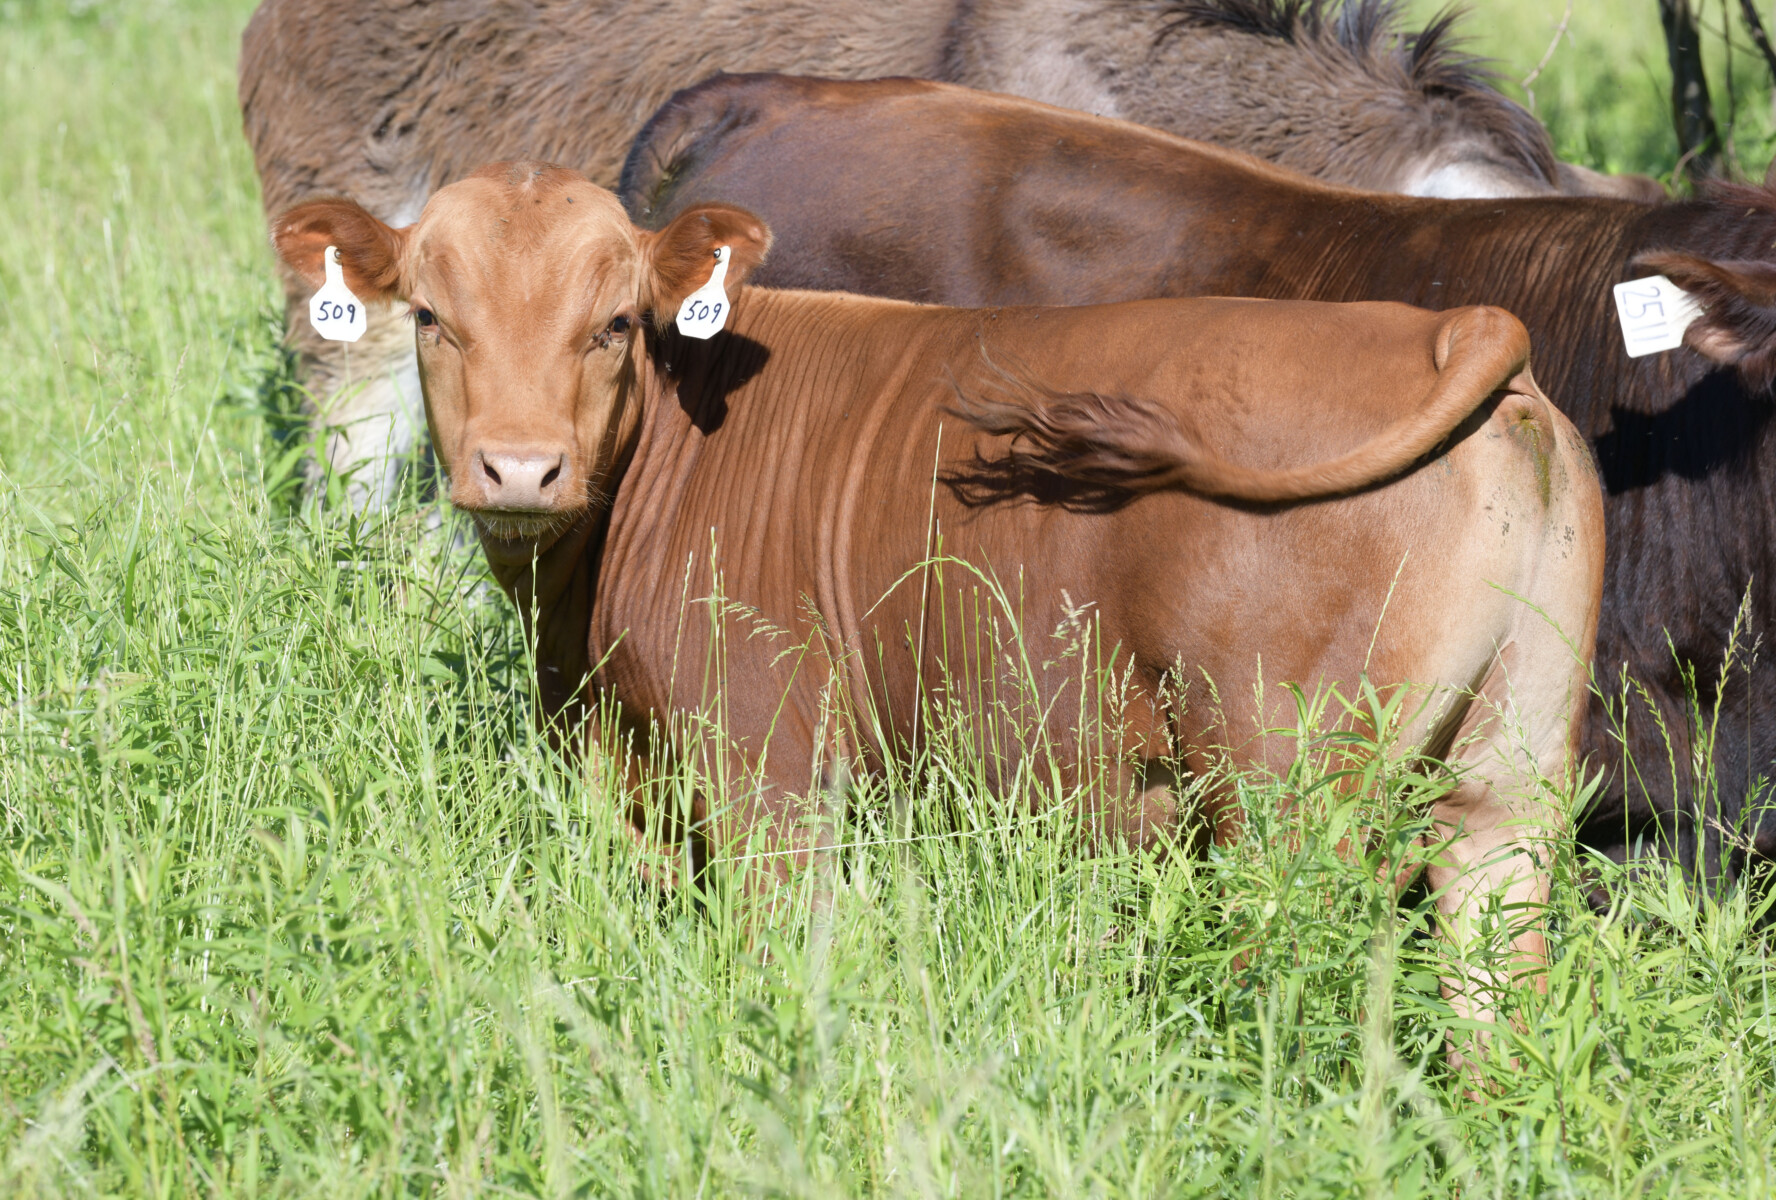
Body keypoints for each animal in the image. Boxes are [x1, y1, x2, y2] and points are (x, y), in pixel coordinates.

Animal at [269, 162, 1603, 1033]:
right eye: (432, 316)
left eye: (611, 324)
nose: (520, 467)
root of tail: (1451, 328)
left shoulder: (767, 782)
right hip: (1508, 791)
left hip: (1281, 799)